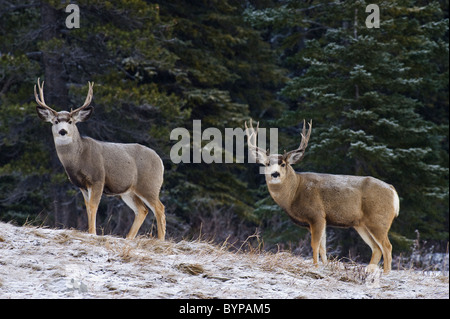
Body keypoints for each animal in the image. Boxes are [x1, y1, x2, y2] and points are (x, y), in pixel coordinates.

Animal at [34, 79, 165, 240]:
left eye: (70, 121)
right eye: (56, 121)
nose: (62, 131)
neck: (79, 159)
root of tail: (160, 161)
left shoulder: (98, 179)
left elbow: (93, 206)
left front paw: (92, 232)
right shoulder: (82, 185)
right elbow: (87, 207)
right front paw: (90, 231)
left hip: (149, 185)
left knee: (159, 208)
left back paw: (160, 239)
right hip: (128, 191)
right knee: (142, 210)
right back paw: (128, 238)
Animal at [246, 119, 400, 274]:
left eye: (283, 164)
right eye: (267, 164)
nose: (275, 174)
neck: (294, 192)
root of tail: (392, 190)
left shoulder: (317, 214)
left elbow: (314, 245)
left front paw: (315, 266)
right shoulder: (320, 220)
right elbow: (323, 247)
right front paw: (325, 266)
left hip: (379, 219)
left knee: (387, 247)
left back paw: (386, 274)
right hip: (361, 224)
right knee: (376, 248)